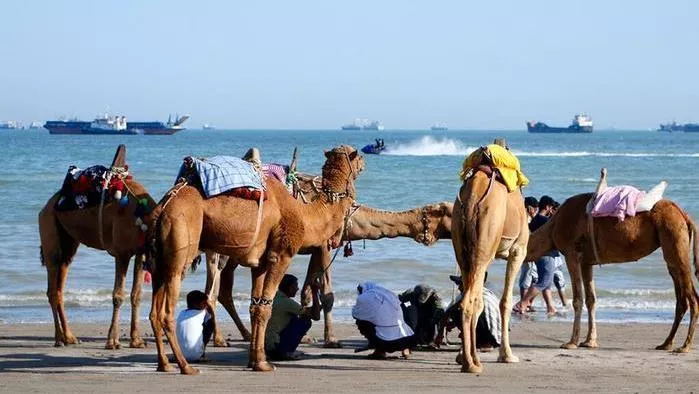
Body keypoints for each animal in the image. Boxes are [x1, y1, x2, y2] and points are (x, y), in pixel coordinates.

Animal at [38, 145, 154, 348]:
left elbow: (136, 295)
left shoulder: (140, 252)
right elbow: (118, 295)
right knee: (52, 288)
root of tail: (46, 206)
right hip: (49, 231)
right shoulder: (122, 253)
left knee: (59, 287)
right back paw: (59, 338)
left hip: (68, 244)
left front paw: (137, 340)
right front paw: (112, 341)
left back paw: (69, 337)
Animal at [148, 144, 366, 372]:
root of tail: (163, 207)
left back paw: (165, 365)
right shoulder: (281, 255)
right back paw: (186, 367)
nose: (364, 162)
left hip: (158, 259)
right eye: (358, 155)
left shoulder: (259, 264)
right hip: (180, 244)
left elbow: (255, 307)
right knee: (168, 311)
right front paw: (263, 363)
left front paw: (255, 359)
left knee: (154, 312)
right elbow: (266, 307)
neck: (304, 214)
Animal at [202, 202, 456, 346]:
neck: (352, 219)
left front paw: (309, 335)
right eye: (446, 211)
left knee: (221, 291)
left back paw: (244, 335)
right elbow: (328, 295)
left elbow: (307, 289)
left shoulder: (316, 247)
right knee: (213, 290)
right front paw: (330, 339)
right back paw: (221, 340)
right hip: (221, 249)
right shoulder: (324, 244)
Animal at [452, 142, 528, 372]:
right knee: (471, 301)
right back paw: (472, 364)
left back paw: (469, 359)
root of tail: (472, 198)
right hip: (485, 244)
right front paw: (507, 355)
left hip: (462, 245)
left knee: (468, 299)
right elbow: (505, 301)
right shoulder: (518, 250)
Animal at [528, 169, 696, 350]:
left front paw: (571, 342)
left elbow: (578, 299)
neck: (551, 228)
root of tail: (685, 215)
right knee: (681, 297)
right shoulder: (586, 261)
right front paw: (589, 341)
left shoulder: (571, 253)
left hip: (674, 238)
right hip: (672, 248)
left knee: (692, 295)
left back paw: (684, 346)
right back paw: (666, 343)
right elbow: (591, 299)